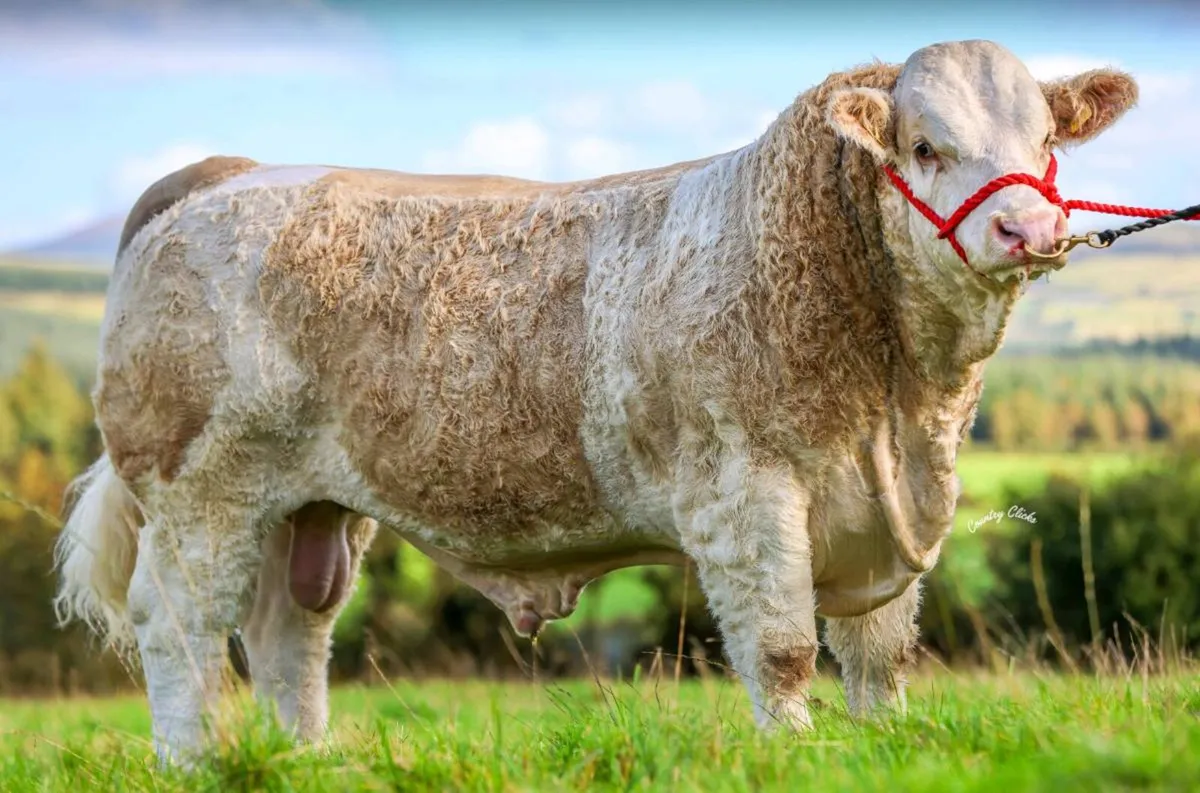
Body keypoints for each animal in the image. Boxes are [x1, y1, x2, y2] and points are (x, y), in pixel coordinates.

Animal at [53, 39, 1138, 764]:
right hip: (200, 494)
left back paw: (309, 764)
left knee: (289, 635)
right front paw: (791, 753)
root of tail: (219, 176)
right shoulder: (745, 495)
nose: (1027, 227)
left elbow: (878, 655)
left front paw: (879, 747)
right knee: (179, 627)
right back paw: (192, 764)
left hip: (308, 504)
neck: (897, 403)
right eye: (923, 145)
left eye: (1046, 137)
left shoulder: (888, 512)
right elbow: (785, 649)